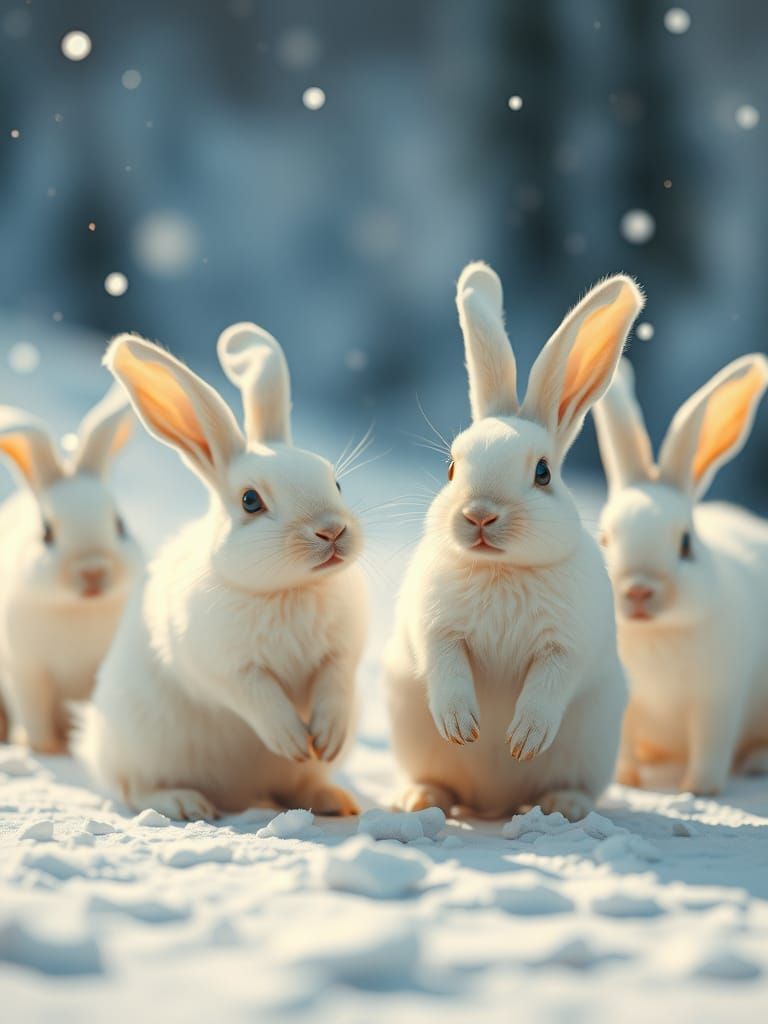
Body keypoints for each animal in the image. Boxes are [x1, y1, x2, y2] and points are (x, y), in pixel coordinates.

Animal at [0, 386, 140, 752]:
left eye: (120, 524)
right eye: (46, 533)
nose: (93, 570)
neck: (78, 609)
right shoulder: (27, 671)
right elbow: (33, 710)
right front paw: (43, 748)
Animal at [75, 323, 368, 820]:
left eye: (336, 481)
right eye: (251, 501)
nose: (331, 530)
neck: (290, 591)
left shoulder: (343, 653)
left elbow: (337, 683)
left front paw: (326, 739)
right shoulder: (225, 667)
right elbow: (258, 696)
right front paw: (294, 739)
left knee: (298, 786)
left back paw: (334, 800)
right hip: (140, 747)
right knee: (134, 789)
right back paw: (185, 803)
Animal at [384, 262, 644, 821]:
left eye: (543, 473)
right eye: (451, 467)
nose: (479, 514)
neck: (499, 569)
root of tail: (492, 803)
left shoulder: (569, 644)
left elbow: (550, 683)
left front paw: (522, 740)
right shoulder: (434, 628)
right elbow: (446, 667)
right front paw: (463, 727)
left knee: (571, 786)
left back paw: (562, 805)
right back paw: (420, 799)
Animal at [592, 353, 768, 795]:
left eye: (686, 545)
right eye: (604, 539)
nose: (638, 590)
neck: (656, 635)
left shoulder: (718, 700)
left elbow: (710, 748)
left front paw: (698, 788)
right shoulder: (625, 706)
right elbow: (622, 744)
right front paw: (627, 781)